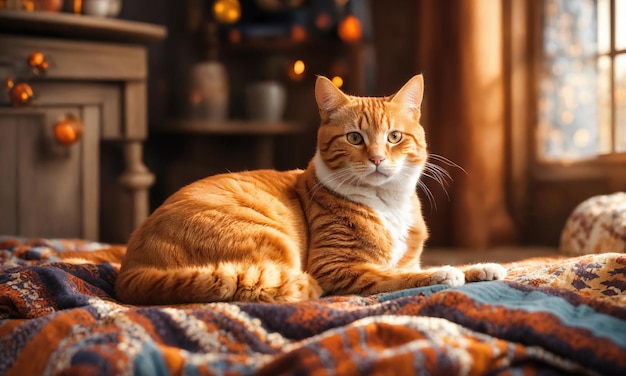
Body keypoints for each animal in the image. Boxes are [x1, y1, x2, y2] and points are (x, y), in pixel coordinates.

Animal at [114, 74, 504, 306]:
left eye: (394, 137)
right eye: (354, 138)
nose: (378, 158)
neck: (388, 204)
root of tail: (130, 271)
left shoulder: (408, 256)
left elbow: (431, 263)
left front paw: (482, 267)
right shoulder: (335, 268)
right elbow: (396, 276)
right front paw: (444, 274)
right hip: (270, 238)